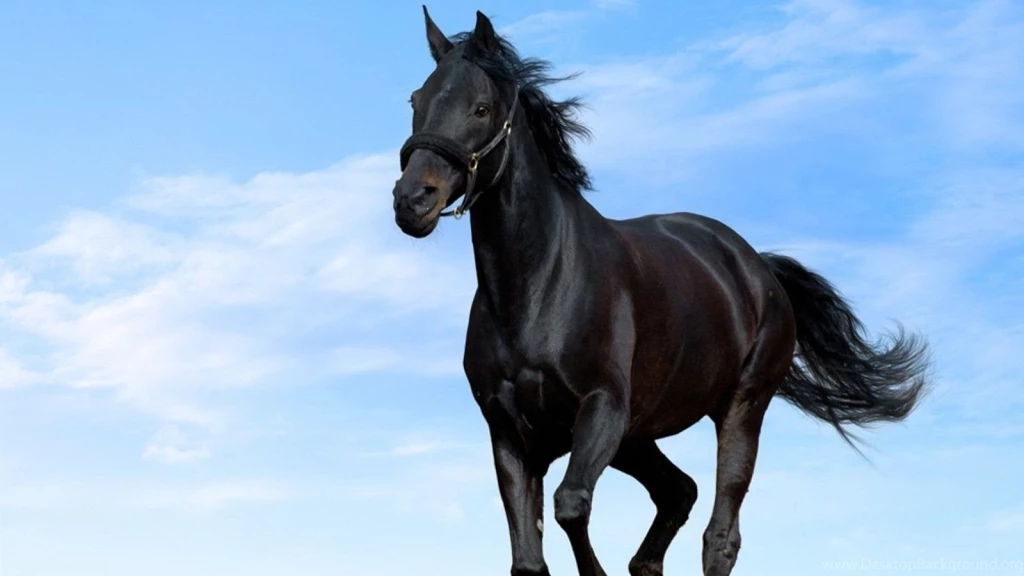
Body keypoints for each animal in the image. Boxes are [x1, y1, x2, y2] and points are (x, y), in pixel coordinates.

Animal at [390, 8, 931, 576]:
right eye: (416, 101)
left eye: (481, 107)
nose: (412, 200)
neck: (535, 291)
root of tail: (757, 266)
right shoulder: (509, 432)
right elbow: (529, 560)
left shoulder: (601, 411)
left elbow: (571, 505)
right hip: (638, 437)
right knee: (678, 492)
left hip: (740, 407)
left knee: (720, 532)